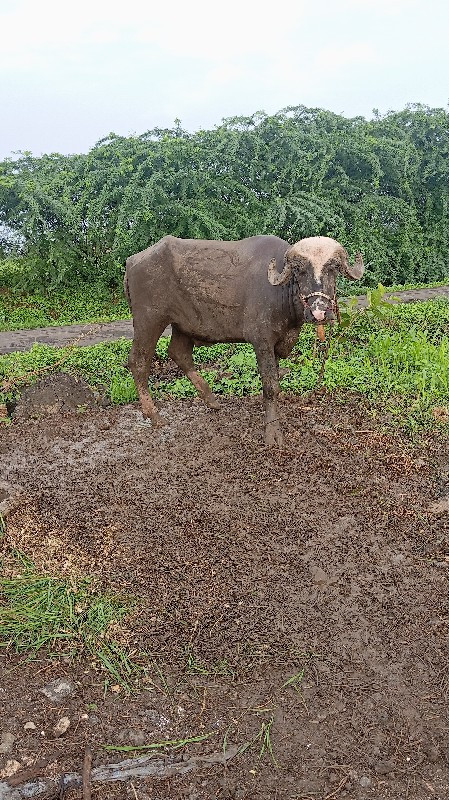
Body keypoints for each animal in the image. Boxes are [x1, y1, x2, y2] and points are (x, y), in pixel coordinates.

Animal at [124, 234, 362, 446]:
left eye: (333, 268)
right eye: (299, 270)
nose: (319, 312)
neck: (281, 294)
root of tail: (132, 261)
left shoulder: (277, 344)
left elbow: (275, 380)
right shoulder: (262, 342)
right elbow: (270, 386)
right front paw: (272, 432)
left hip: (182, 325)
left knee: (178, 353)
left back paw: (211, 400)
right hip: (149, 321)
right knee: (139, 361)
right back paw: (153, 414)